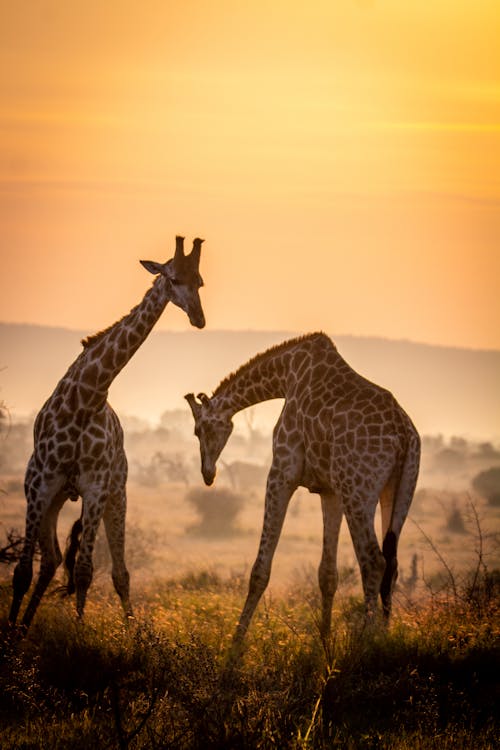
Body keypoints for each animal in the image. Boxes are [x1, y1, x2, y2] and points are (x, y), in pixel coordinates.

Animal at [7, 236, 204, 636]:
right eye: (173, 278)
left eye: (200, 282)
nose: (198, 317)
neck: (86, 397)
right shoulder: (40, 483)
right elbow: (22, 571)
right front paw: (10, 634)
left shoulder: (96, 486)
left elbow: (85, 571)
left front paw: (79, 633)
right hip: (54, 497)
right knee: (51, 560)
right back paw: (24, 626)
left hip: (117, 496)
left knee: (118, 572)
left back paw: (131, 634)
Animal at [186, 332, 420, 648]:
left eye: (199, 430)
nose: (208, 474)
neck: (286, 375)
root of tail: (404, 435)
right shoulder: (330, 490)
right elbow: (327, 573)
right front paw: (324, 641)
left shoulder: (281, 474)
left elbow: (260, 570)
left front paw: (236, 644)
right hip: (397, 490)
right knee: (392, 562)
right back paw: (384, 637)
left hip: (357, 493)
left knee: (373, 561)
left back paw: (367, 643)